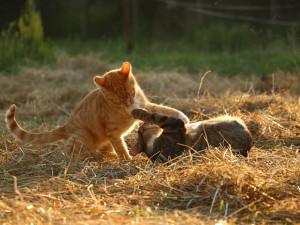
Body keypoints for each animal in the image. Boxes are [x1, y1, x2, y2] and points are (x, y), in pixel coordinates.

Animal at [5, 62, 190, 160]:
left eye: (131, 93)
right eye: (118, 100)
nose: (129, 103)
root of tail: (66, 125)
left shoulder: (144, 104)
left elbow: (163, 110)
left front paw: (184, 118)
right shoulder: (113, 132)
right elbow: (122, 148)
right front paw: (128, 161)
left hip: (102, 140)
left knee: (104, 150)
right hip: (83, 138)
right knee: (72, 151)